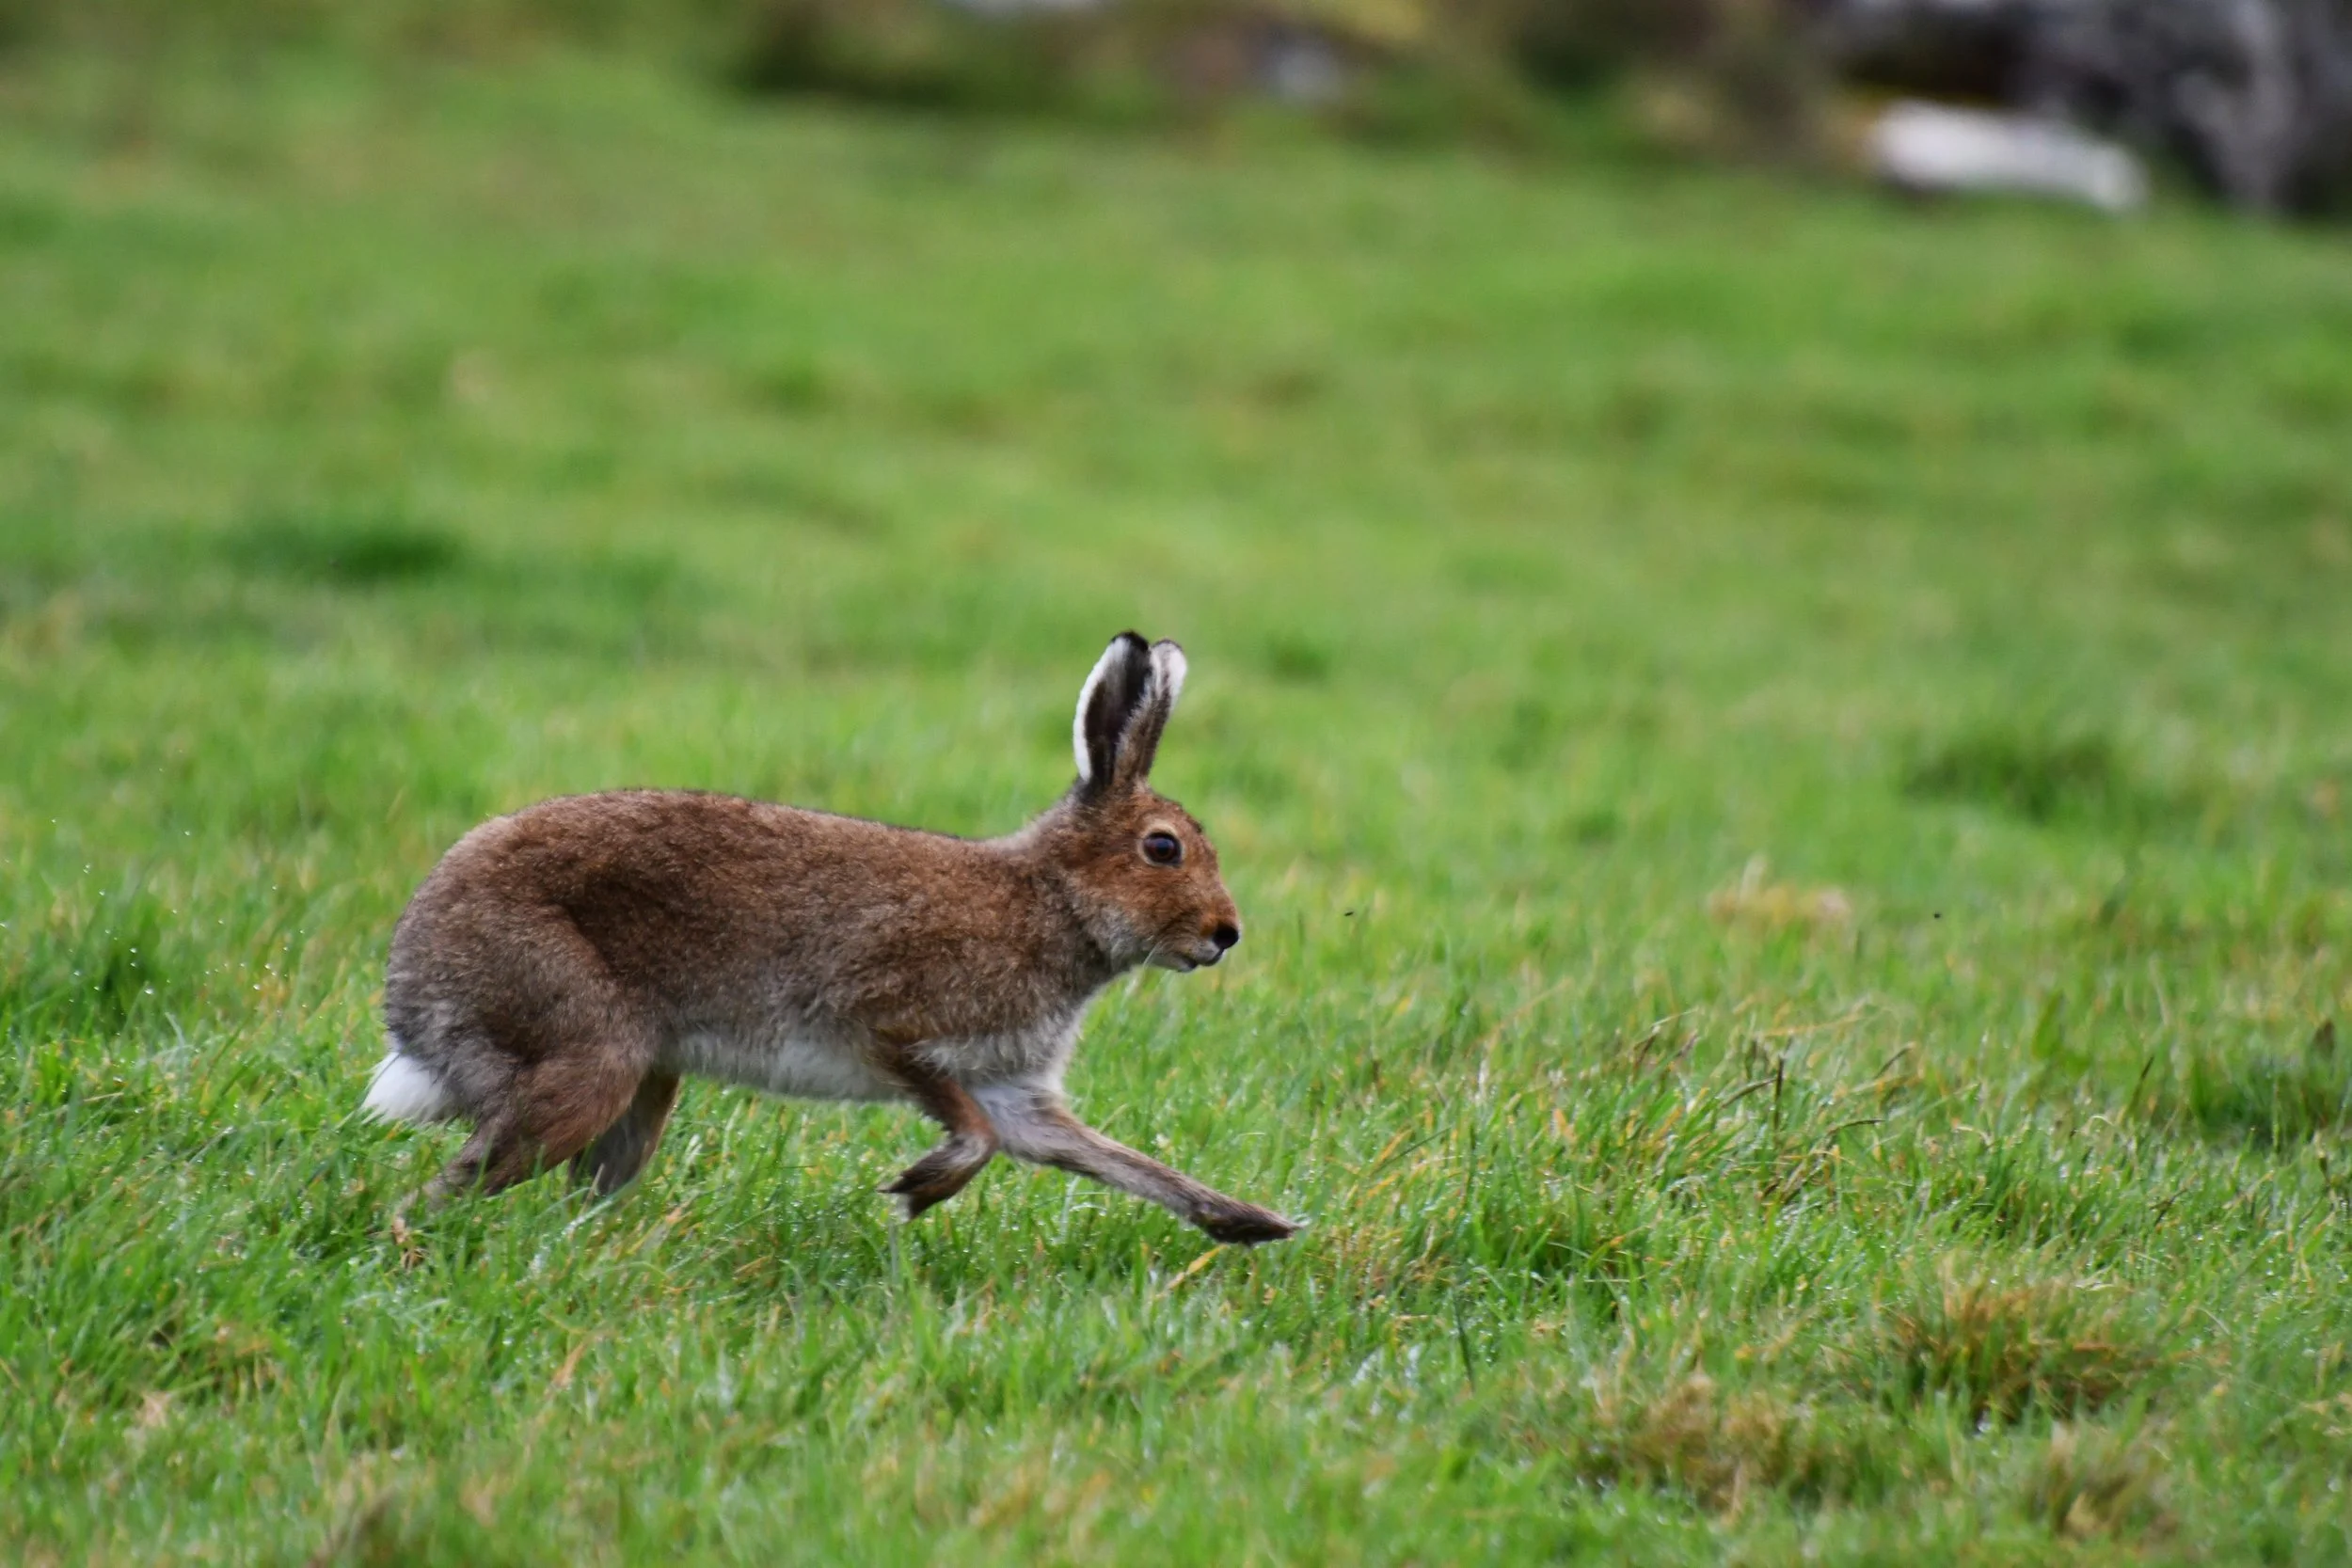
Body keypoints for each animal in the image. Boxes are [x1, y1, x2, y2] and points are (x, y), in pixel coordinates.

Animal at [362, 632, 1300, 1245]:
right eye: (1163, 848)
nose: (1225, 935)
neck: (1053, 902)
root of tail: (411, 997)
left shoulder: (1016, 1090)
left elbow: (1110, 1158)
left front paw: (1256, 1223)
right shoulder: (890, 1025)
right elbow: (975, 1134)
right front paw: (918, 1191)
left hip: (642, 1085)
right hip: (583, 1052)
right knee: (456, 1183)